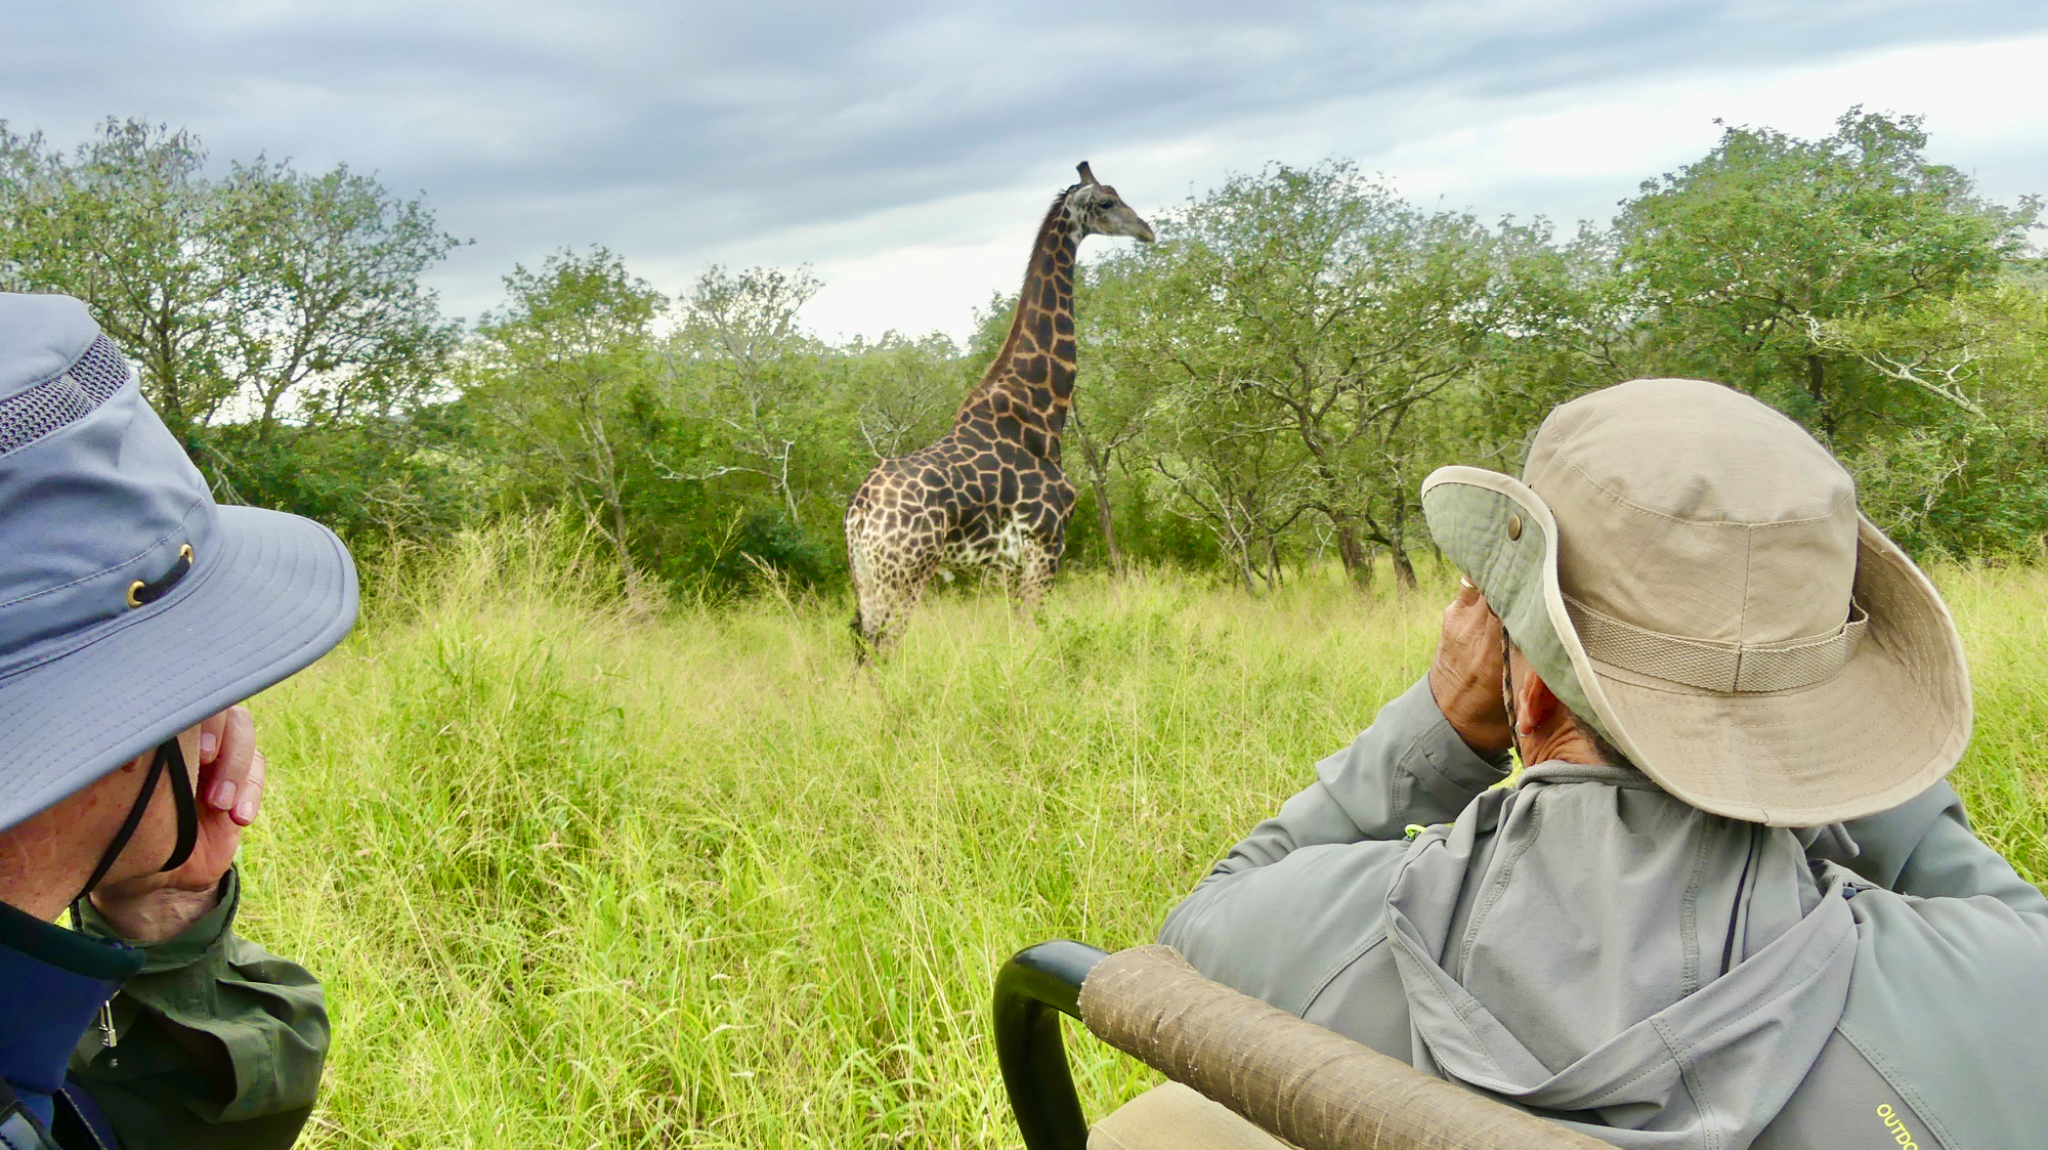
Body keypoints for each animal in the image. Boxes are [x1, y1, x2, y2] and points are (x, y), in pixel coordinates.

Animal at [845, 162, 1154, 656]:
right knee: (884, 647)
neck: (1042, 408)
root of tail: (856, 515)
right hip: (906, 573)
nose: (1147, 231)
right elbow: (1034, 633)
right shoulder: (1046, 543)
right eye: (1106, 202)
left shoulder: (1007, 564)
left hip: (869, 577)